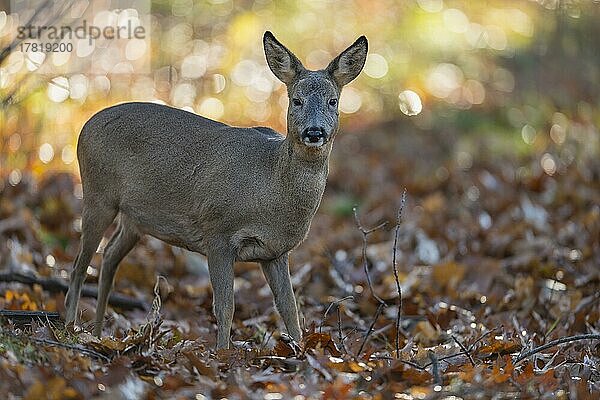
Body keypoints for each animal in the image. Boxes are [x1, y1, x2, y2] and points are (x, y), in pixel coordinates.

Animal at [64, 32, 366, 350]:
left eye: (333, 101)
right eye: (296, 100)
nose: (314, 132)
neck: (270, 186)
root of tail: (85, 126)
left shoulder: (275, 252)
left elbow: (289, 307)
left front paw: (299, 350)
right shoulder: (218, 233)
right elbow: (225, 306)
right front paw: (223, 354)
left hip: (135, 219)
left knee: (108, 256)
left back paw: (98, 333)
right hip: (97, 193)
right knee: (79, 264)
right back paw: (71, 330)